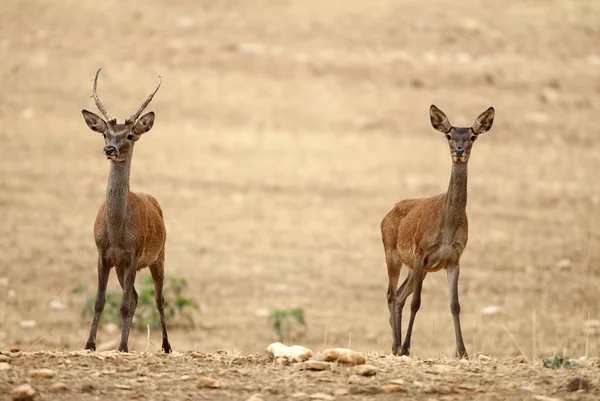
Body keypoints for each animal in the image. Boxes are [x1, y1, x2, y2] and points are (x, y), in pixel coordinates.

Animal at [79, 69, 171, 354]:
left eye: (129, 135)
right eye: (105, 134)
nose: (110, 149)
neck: (117, 232)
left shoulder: (133, 255)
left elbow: (123, 304)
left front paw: (121, 346)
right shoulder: (103, 254)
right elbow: (100, 301)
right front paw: (90, 344)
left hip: (159, 255)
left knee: (158, 298)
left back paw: (166, 346)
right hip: (122, 266)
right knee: (137, 297)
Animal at [382, 104, 494, 358]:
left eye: (472, 136)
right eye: (449, 136)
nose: (459, 150)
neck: (447, 227)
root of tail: (386, 216)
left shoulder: (454, 259)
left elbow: (455, 305)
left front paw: (463, 352)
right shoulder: (421, 253)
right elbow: (417, 302)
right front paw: (407, 346)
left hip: (415, 268)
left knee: (400, 295)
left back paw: (397, 344)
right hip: (393, 255)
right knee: (391, 294)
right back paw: (396, 345)